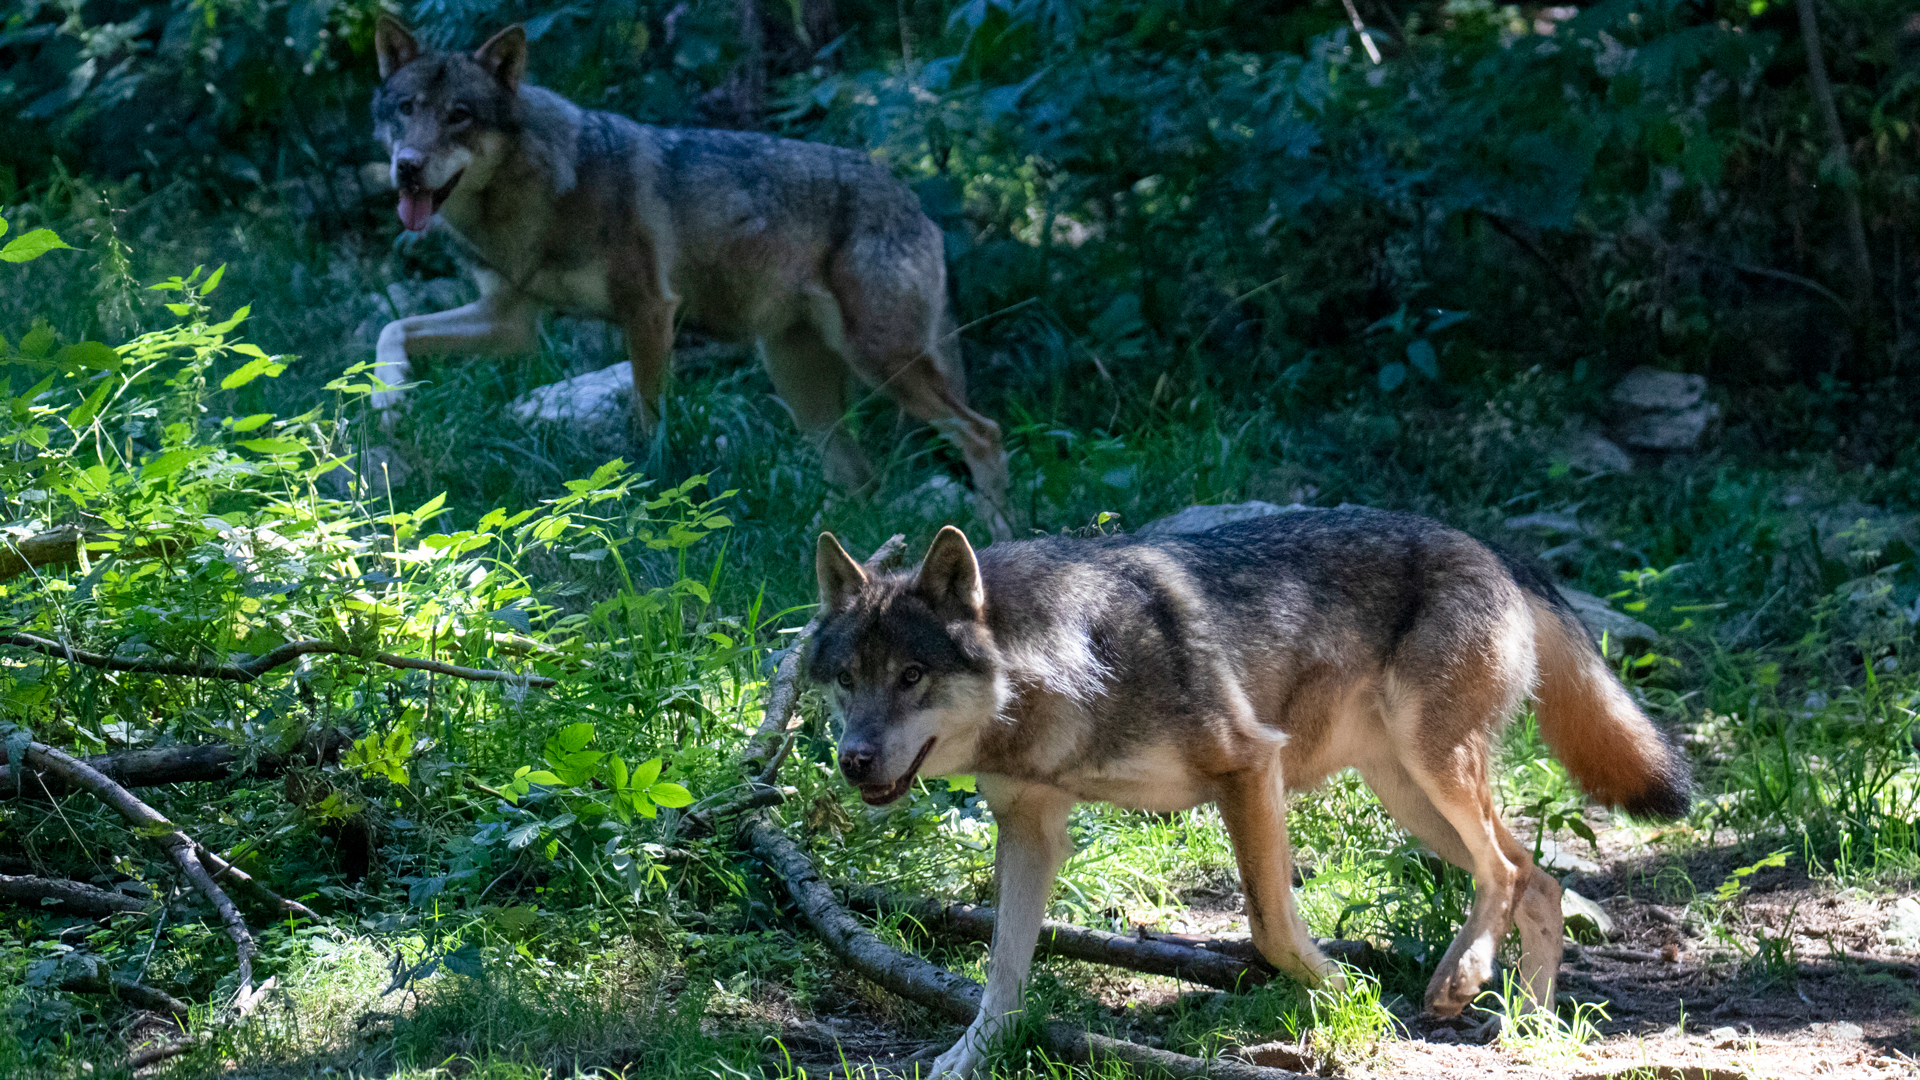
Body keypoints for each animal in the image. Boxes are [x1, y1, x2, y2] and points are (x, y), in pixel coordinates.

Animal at [364, 16, 1013, 534]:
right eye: (406, 110)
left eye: (459, 116)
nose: (408, 168)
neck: (529, 197)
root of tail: (917, 204)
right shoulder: (511, 324)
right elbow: (391, 332)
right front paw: (388, 399)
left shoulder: (649, 311)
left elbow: (649, 420)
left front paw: (645, 498)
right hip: (801, 383)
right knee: (863, 478)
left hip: (880, 362)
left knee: (983, 432)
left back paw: (997, 531)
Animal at [806, 507, 1681, 1068]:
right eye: (847, 679)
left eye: (913, 676)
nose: (853, 760)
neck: (1065, 669)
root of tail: (1492, 547)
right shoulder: (1031, 830)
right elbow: (1001, 974)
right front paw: (968, 1057)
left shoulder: (1250, 766)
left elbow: (1269, 926)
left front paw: (1345, 988)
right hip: (1410, 798)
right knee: (1540, 879)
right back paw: (1529, 1029)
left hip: (1436, 776)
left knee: (1508, 873)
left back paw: (1460, 985)